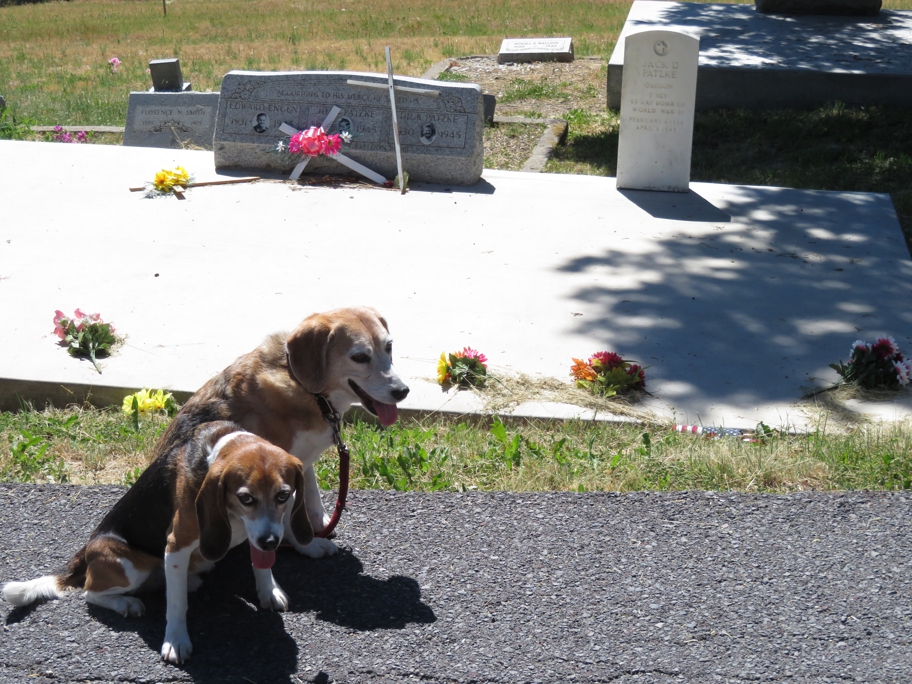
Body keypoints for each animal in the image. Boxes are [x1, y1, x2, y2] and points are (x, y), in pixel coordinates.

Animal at [2, 420, 314, 664]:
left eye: (283, 495)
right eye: (246, 498)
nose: (271, 542)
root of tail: (88, 549)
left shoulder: (256, 533)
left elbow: (260, 565)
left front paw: (268, 590)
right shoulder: (176, 545)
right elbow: (176, 604)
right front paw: (176, 641)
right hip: (130, 565)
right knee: (90, 593)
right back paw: (127, 603)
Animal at [153, 308, 410, 560]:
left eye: (389, 347)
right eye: (359, 357)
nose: (403, 391)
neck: (305, 388)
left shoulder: (302, 463)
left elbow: (311, 497)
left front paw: (319, 524)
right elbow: (287, 514)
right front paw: (308, 545)